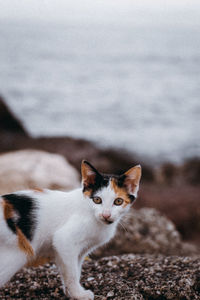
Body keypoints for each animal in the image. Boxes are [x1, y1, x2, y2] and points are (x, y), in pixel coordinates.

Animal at [0, 161, 141, 298]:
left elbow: (72, 270)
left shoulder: (74, 251)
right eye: (97, 200)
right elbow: (72, 272)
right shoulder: (64, 240)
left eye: (118, 201)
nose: (106, 215)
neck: (90, 212)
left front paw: (70, 293)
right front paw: (79, 294)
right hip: (16, 255)